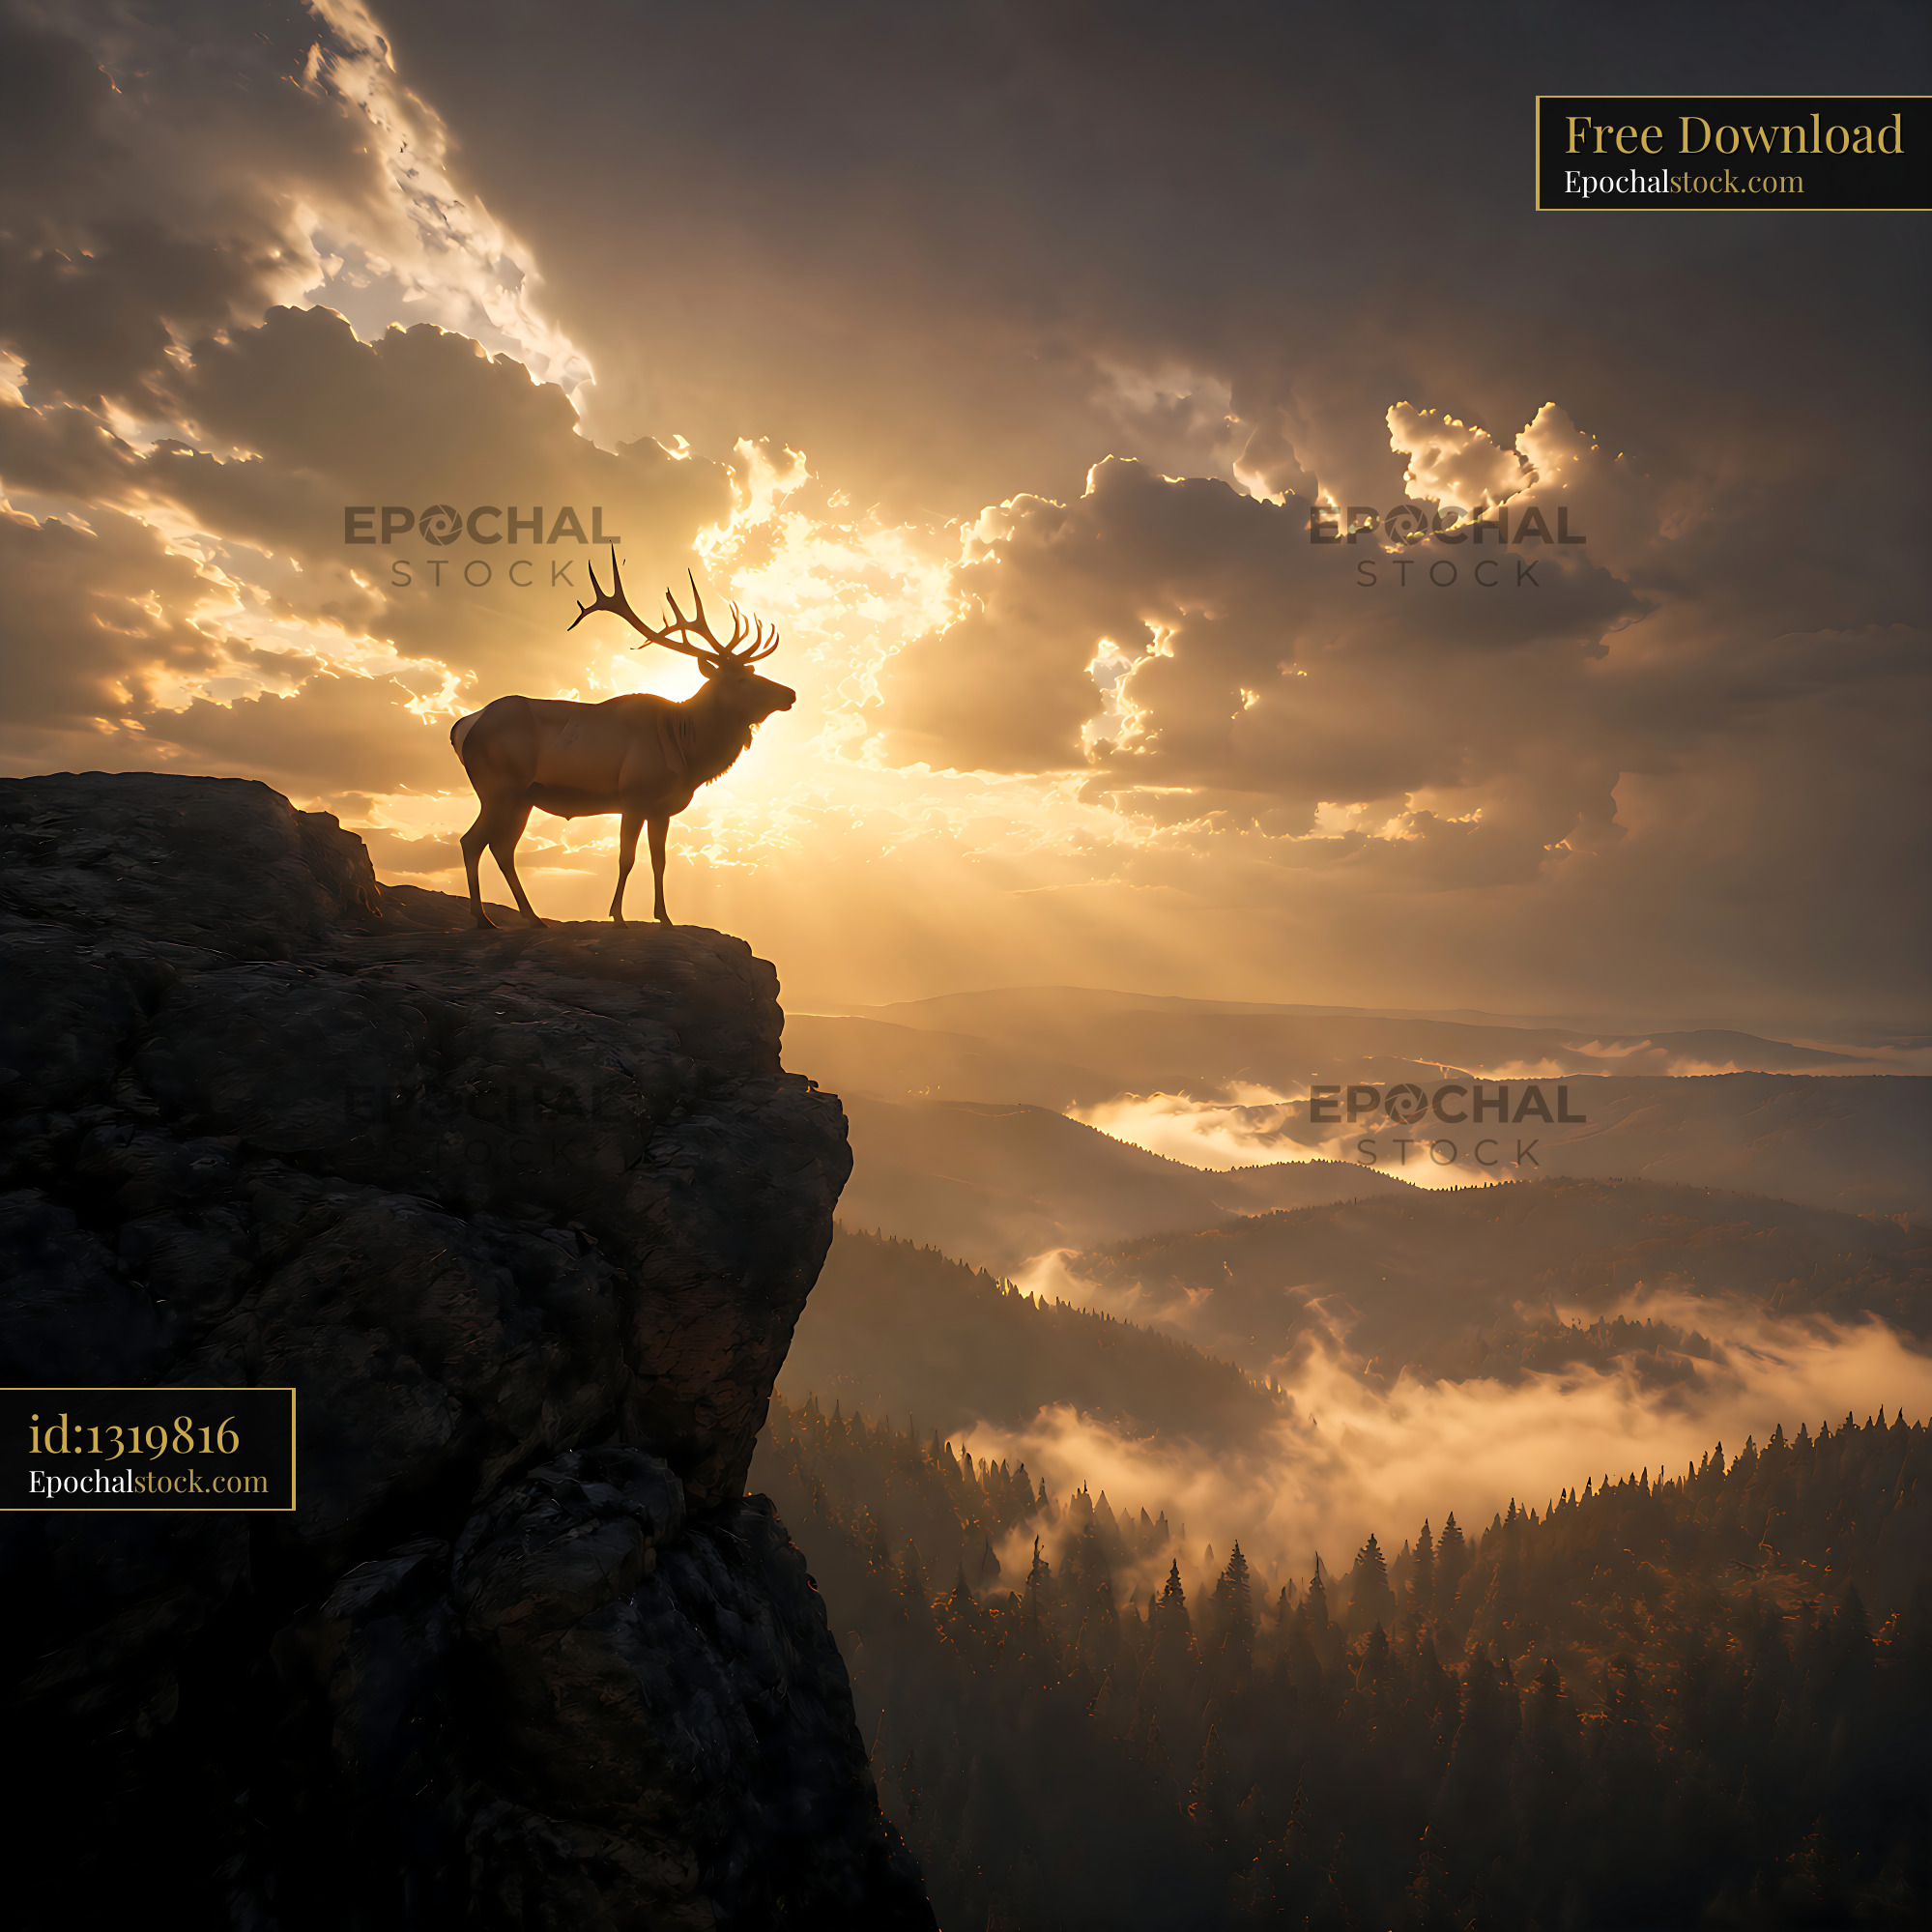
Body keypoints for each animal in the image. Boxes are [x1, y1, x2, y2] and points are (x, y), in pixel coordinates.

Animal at [449, 549, 794, 928]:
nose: (790, 693)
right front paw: (617, 915)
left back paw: (533, 917)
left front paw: (664, 917)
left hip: (524, 796)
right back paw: (483, 918)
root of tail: (463, 726)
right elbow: (626, 858)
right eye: (741, 680)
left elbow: (659, 861)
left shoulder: (662, 809)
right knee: (472, 841)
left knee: (502, 847)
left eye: (752, 671)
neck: (688, 753)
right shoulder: (633, 796)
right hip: (498, 786)